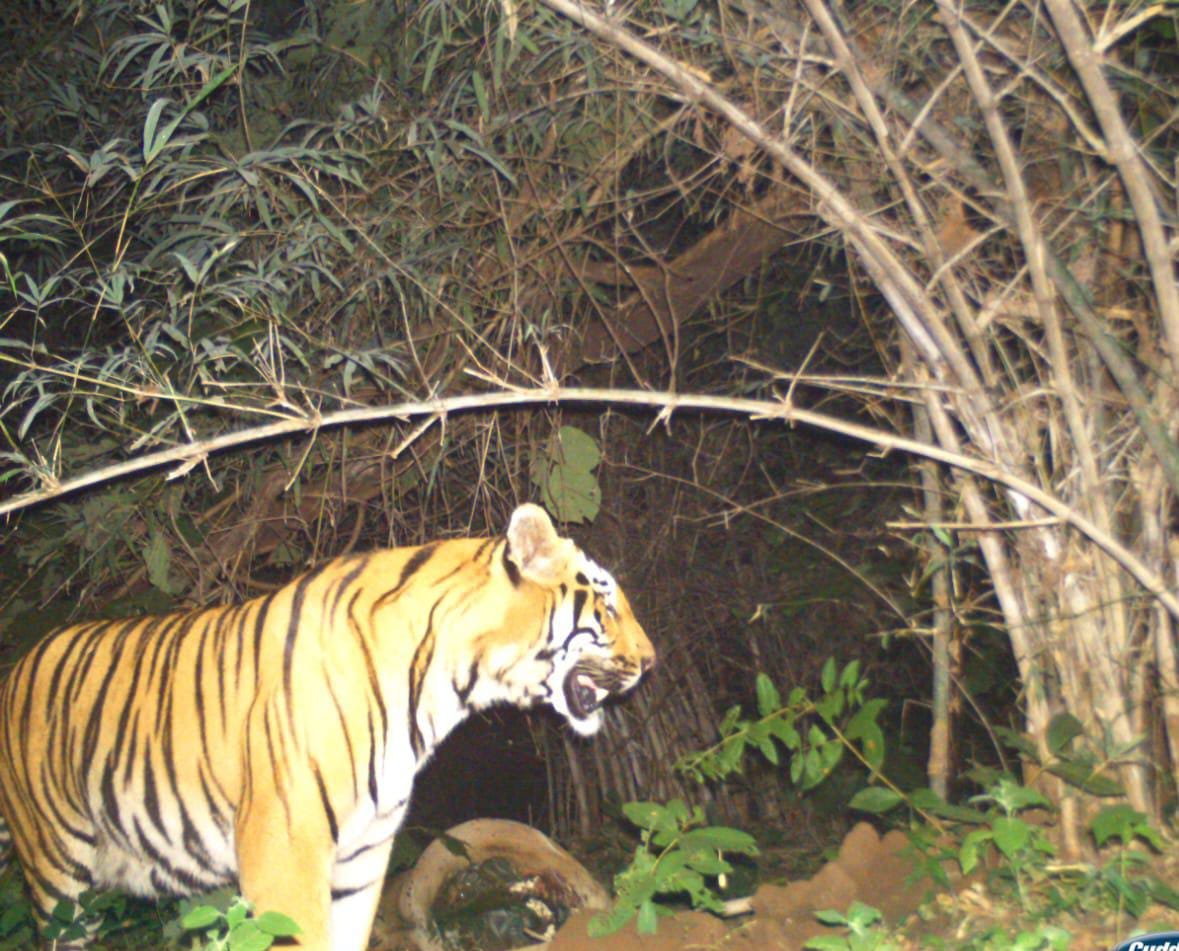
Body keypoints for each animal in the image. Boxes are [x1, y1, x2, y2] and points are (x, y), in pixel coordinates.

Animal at [0, 503, 655, 950]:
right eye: (608, 606)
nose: (651, 661)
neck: (444, 687)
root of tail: (19, 664)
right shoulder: (283, 854)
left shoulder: (363, 857)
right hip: (58, 872)